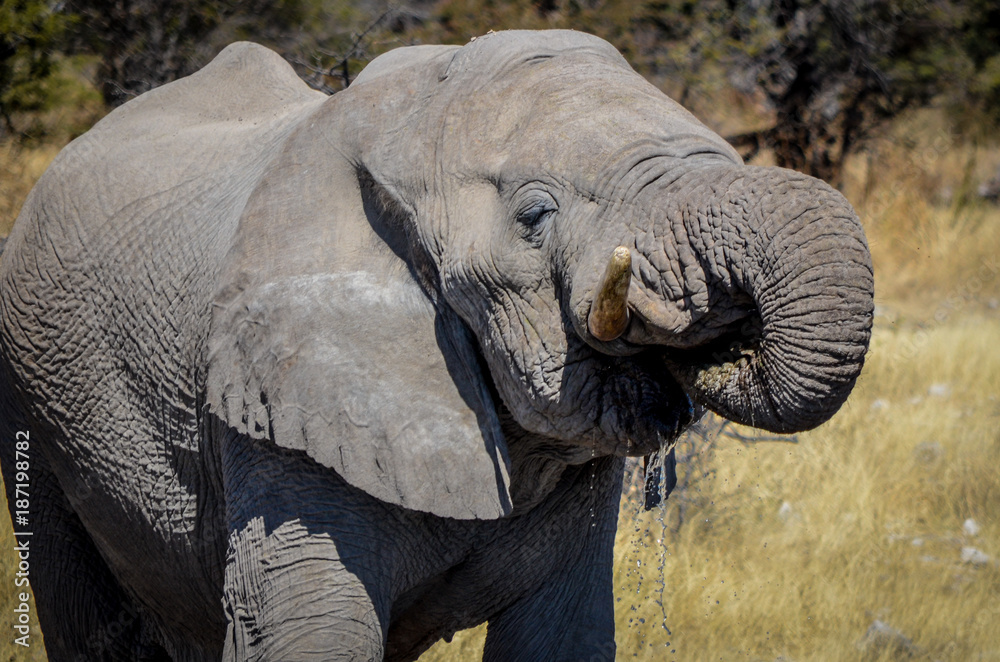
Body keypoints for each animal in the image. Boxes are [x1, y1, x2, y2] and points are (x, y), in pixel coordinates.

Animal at [0, 29, 873, 662]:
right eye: (535, 217)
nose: (719, 328)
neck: (406, 122)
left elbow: (562, 636)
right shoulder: (274, 408)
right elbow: (317, 635)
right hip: (34, 403)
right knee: (86, 619)